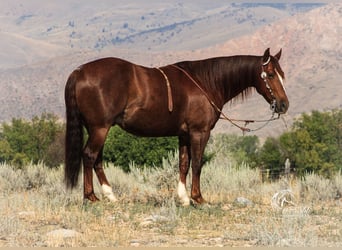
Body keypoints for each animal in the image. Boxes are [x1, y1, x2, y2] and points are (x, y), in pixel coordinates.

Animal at [64, 48, 288, 205]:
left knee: (97, 160)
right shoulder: (200, 132)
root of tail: (79, 72)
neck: (205, 82)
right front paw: (198, 198)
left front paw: (183, 198)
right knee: (89, 156)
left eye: (282, 74)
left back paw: (109, 195)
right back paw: (91, 197)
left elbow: (183, 163)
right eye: (270, 75)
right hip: (100, 128)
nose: (284, 105)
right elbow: (197, 163)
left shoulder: (184, 134)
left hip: (96, 128)